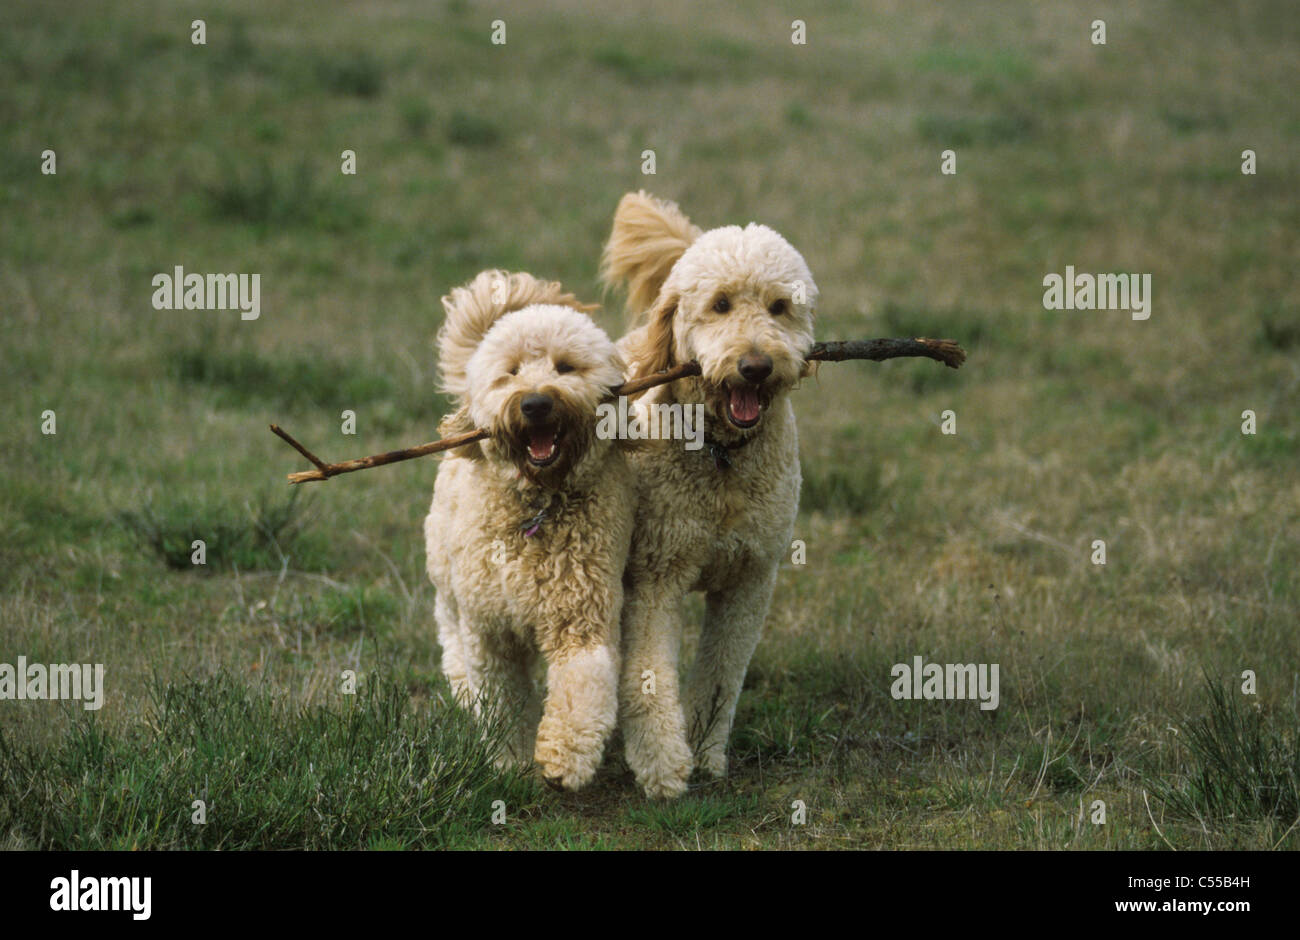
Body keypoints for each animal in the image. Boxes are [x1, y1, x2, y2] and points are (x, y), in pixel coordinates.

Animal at [423, 267, 631, 790]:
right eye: (512, 372)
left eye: (565, 367)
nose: (536, 404)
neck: (539, 502)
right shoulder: (489, 632)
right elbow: (502, 700)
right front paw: (508, 762)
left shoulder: (583, 616)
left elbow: (582, 686)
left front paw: (563, 759)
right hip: (446, 576)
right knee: (448, 631)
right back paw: (460, 686)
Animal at [598, 195, 811, 795]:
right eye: (719, 305)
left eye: (779, 307)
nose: (755, 366)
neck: (723, 457)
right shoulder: (655, 578)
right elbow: (647, 676)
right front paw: (663, 762)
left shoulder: (750, 581)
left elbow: (721, 676)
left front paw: (706, 751)